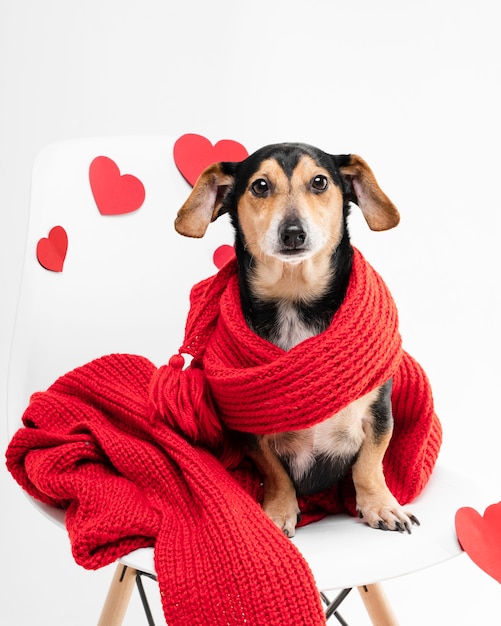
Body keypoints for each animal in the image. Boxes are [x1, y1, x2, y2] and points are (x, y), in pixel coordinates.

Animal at [176, 143, 418, 536]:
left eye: (319, 182)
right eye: (260, 186)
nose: (292, 233)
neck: (295, 298)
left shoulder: (379, 409)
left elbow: (370, 462)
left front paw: (380, 505)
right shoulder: (250, 431)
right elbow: (275, 473)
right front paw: (278, 511)